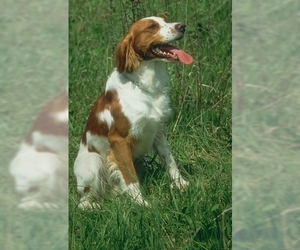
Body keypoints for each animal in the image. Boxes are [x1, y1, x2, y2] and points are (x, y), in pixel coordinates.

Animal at [74, 15, 193, 207]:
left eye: (165, 19)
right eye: (151, 27)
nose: (182, 26)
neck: (145, 87)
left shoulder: (158, 131)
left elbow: (170, 161)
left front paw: (181, 185)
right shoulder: (119, 140)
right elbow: (130, 177)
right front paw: (141, 203)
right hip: (93, 162)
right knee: (84, 202)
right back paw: (94, 206)